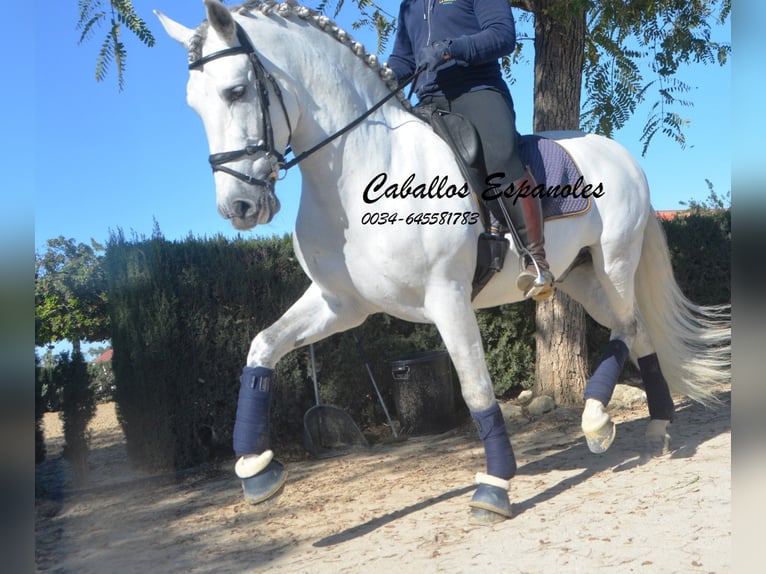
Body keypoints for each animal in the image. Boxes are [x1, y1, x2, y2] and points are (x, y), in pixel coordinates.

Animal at [156, 0, 732, 520]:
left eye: (235, 91)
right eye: (192, 104)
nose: (239, 207)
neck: (363, 170)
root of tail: (621, 154)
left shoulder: (447, 298)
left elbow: (476, 389)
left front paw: (494, 487)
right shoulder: (341, 305)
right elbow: (262, 347)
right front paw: (258, 473)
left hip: (613, 265)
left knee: (628, 327)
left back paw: (602, 422)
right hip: (580, 278)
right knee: (635, 333)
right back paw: (648, 425)